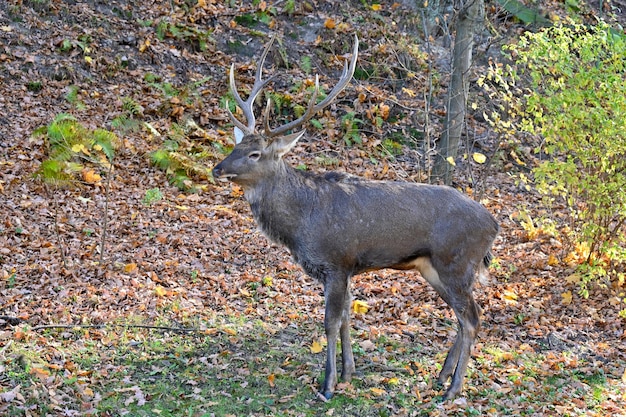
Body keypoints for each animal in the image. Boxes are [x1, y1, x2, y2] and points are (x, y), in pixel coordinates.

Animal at [212, 35, 500, 400]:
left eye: (254, 154)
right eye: (234, 146)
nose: (217, 168)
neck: (302, 222)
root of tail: (494, 225)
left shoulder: (337, 260)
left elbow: (331, 321)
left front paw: (328, 385)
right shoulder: (344, 269)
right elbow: (348, 316)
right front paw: (349, 373)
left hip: (456, 262)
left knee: (473, 317)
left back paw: (453, 389)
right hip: (434, 268)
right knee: (464, 318)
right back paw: (442, 376)